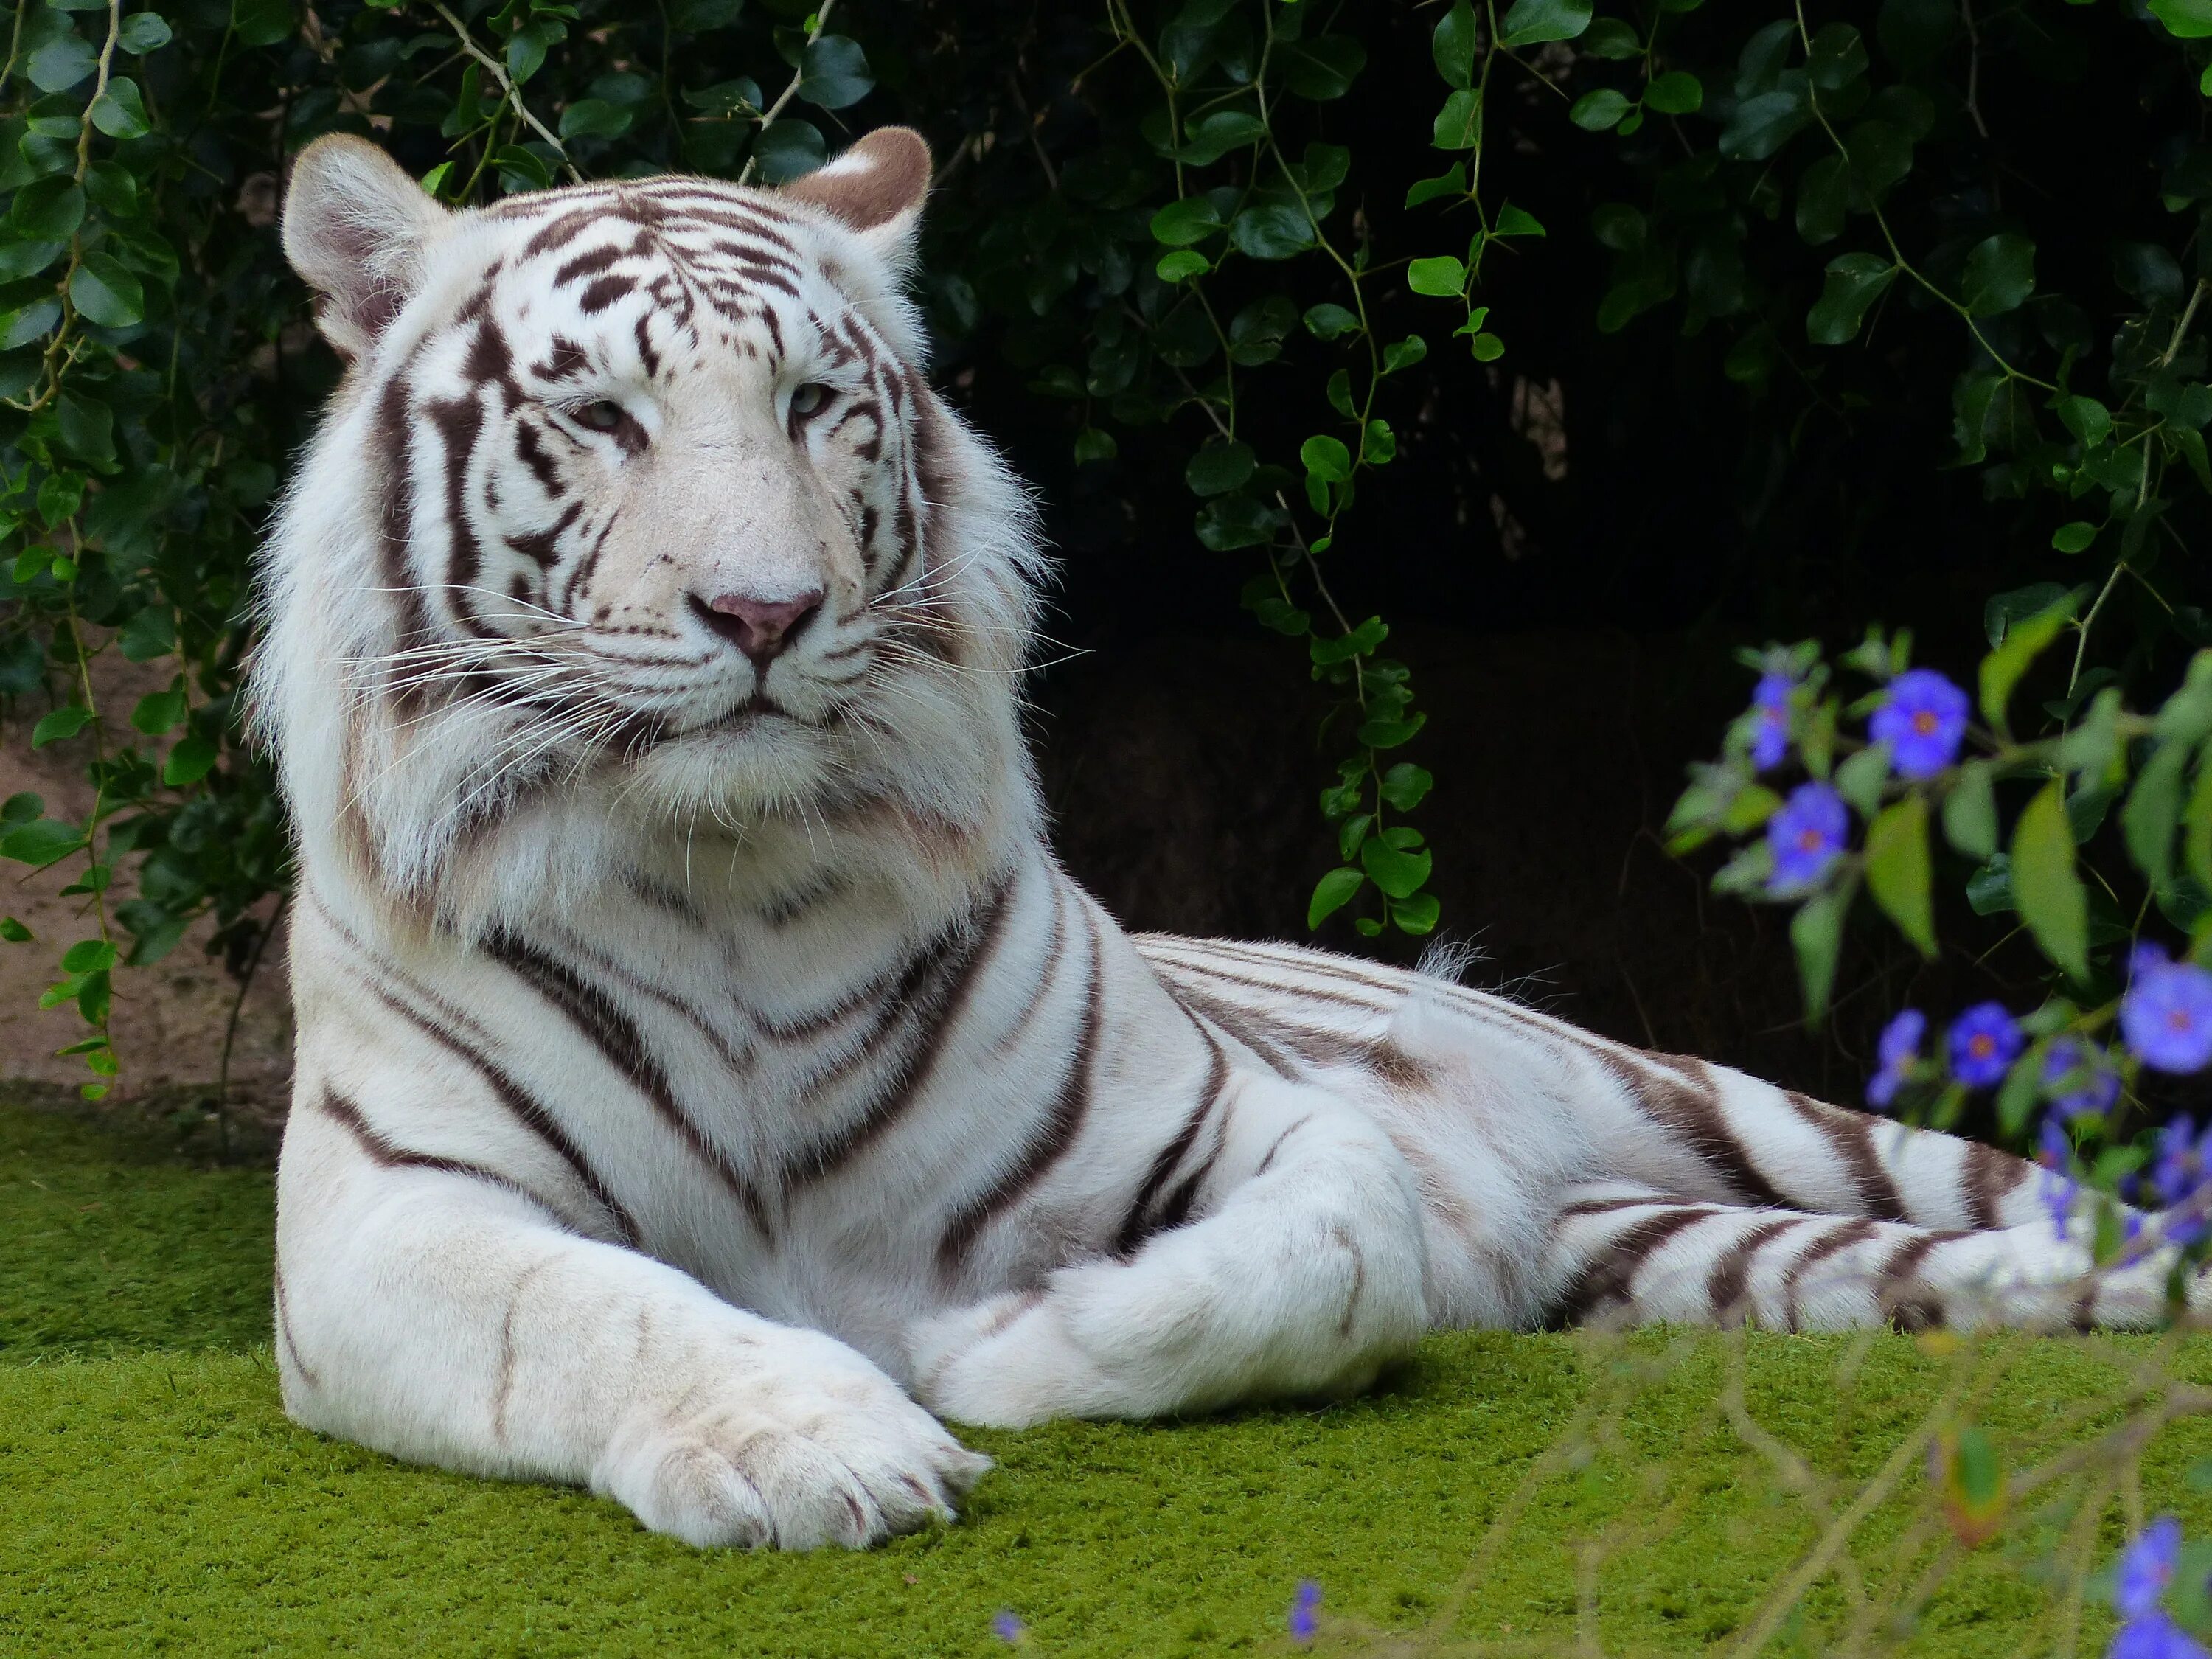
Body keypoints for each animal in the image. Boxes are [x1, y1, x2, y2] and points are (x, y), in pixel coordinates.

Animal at [259, 123, 2177, 1557]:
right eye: (601, 418)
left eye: (810, 405)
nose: (763, 610)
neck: (734, 873)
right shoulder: (383, 1215)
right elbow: (599, 1310)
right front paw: (825, 1443)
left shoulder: (1245, 1120)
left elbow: (1327, 1254)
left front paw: (987, 1350)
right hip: (1664, 1250)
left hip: (1717, 1098)